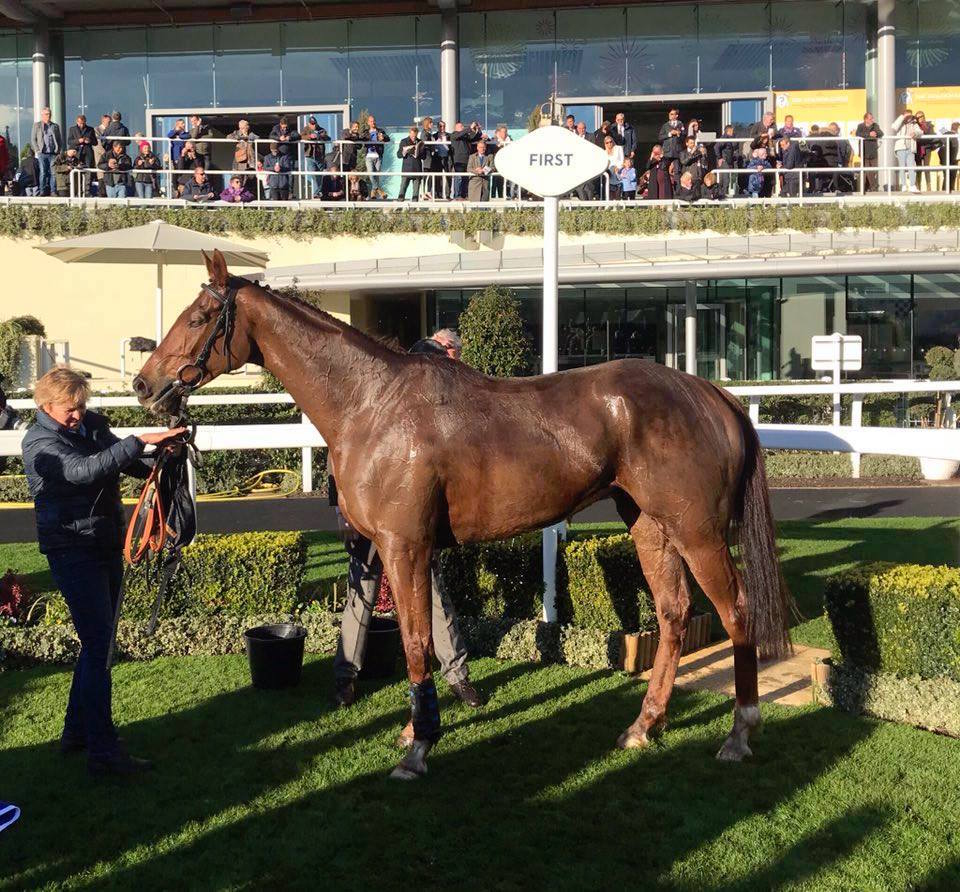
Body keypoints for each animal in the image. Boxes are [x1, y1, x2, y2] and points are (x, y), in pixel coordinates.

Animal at [137, 251, 796, 780]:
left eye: (198, 317)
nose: (146, 385)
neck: (372, 403)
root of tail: (710, 394)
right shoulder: (405, 549)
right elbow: (421, 638)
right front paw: (415, 727)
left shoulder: (404, 545)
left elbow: (415, 641)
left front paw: (418, 746)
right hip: (649, 524)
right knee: (674, 612)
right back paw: (645, 725)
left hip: (698, 532)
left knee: (736, 613)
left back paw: (740, 734)